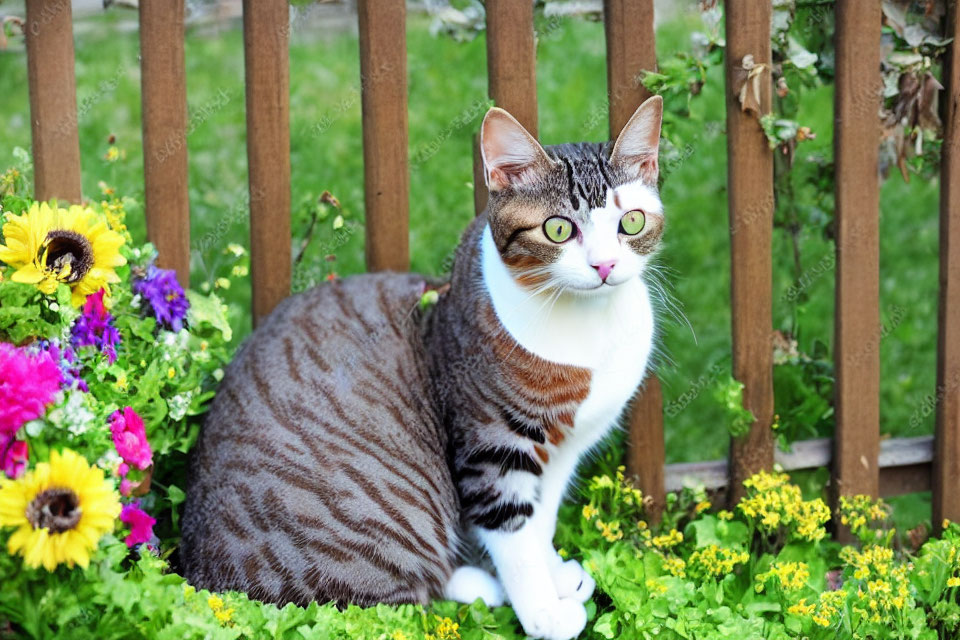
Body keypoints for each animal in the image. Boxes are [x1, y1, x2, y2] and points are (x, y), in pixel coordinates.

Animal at [180, 96, 664, 640]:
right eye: (559, 228)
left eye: (632, 223)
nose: (604, 266)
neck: (588, 329)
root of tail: (204, 583)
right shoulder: (493, 445)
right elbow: (514, 533)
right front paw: (544, 611)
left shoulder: (563, 448)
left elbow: (540, 520)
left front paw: (553, 573)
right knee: (387, 603)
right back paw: (480, 584)